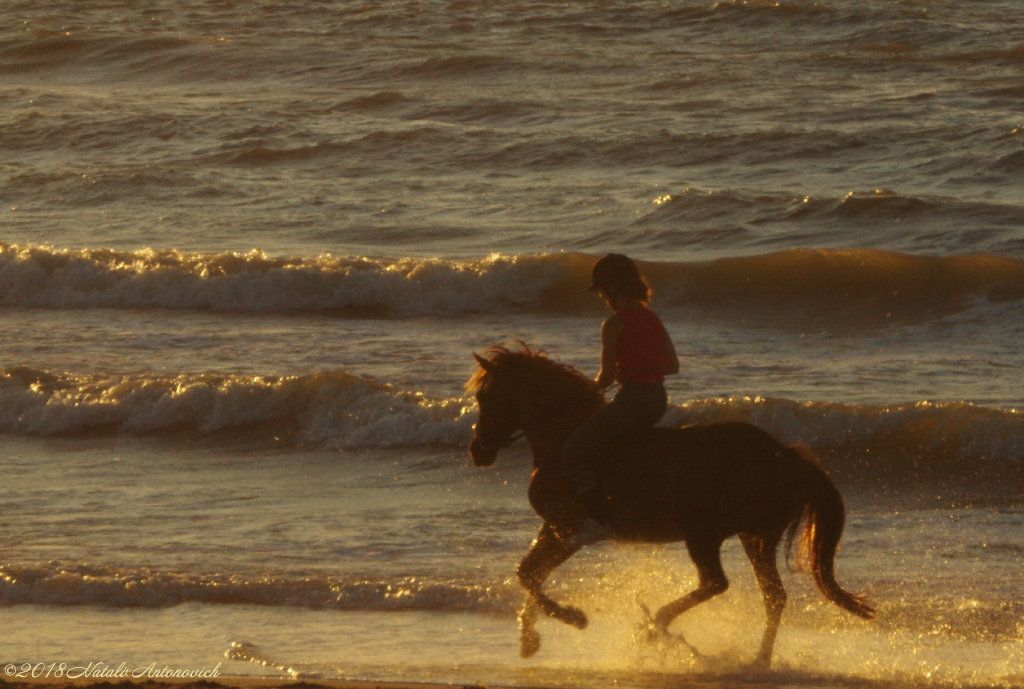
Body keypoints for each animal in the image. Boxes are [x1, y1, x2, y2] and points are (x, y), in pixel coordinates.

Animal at [468, 343, 876, 667]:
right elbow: (529, 573)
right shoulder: (554, 528)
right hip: (755, 536)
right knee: (772, 596)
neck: (562, 437)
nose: (478, 452)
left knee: (716, 583)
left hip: (705, 533)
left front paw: (573, 619)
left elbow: (530, 576)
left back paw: (656, 625)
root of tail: (783, 454)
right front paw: (529, 641)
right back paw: (757, 660)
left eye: (485, 398)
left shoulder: (569, 528)